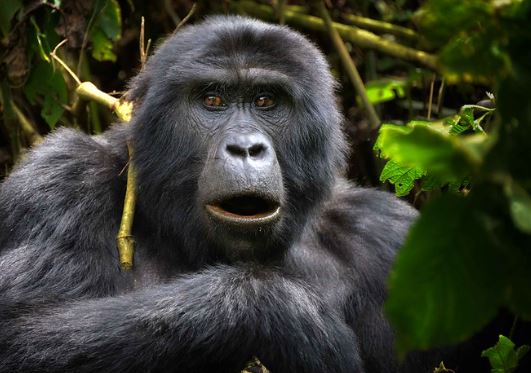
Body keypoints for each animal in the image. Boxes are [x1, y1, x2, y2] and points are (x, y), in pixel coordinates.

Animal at [0, 16, 424, 372]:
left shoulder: (385, 236)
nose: (245, 148)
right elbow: (21, 330)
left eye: (266, 100)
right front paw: (282, 311)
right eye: (212, 100)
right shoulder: (63, 181)